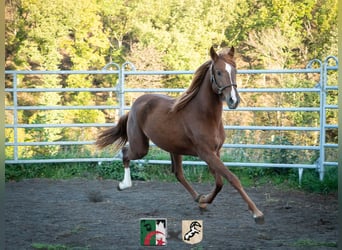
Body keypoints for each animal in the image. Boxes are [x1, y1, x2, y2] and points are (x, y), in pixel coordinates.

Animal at [95, 46, 264, 224]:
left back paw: (198, 198)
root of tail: (136, 104)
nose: (233, 100)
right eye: (218, 72)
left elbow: (219, 182)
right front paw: (257, 213)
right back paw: (124, 185)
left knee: (178, 174)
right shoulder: (206, 153)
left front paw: (204, 201)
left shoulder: (215, 152)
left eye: (235, 70)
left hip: (174, 148)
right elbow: (232, 179)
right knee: (126, 153)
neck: (204, 115)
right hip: (141, 147)